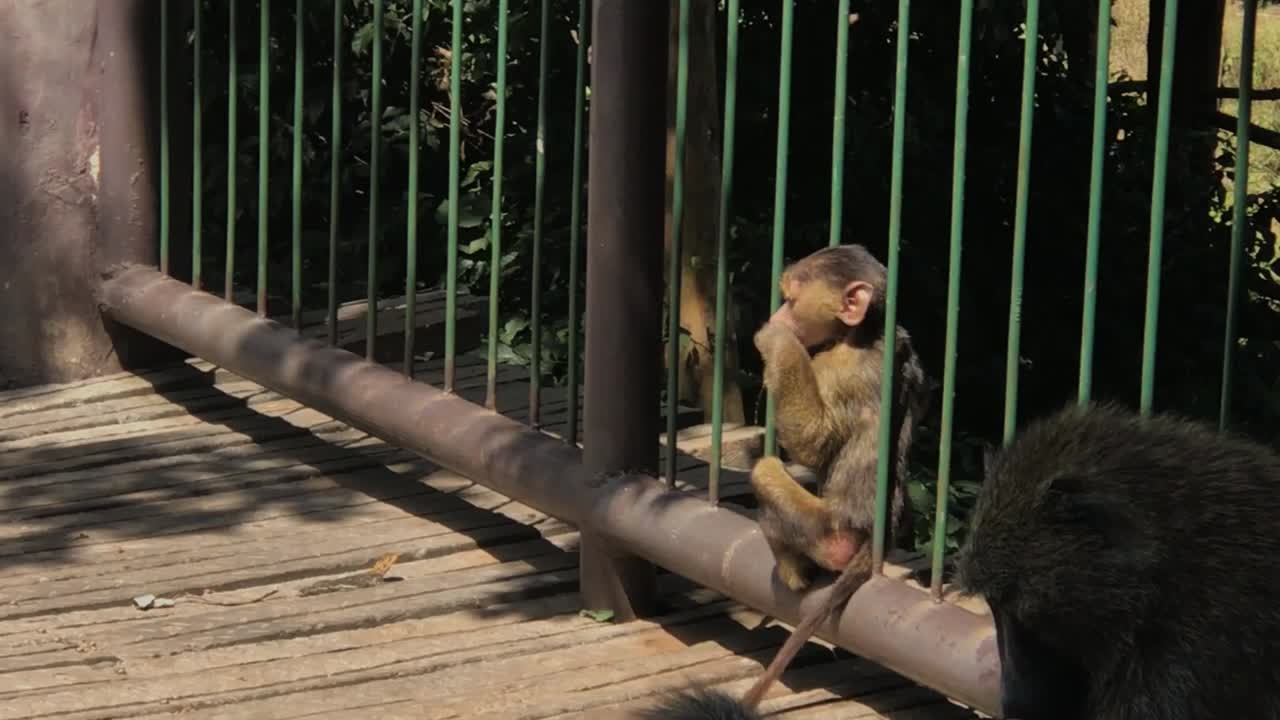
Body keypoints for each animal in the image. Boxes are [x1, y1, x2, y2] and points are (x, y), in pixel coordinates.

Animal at [634, 244, 930, 718]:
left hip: (828, 535)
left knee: (767, 472)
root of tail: (869, 538)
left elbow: (813, 442)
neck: (866, 334)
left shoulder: (835, 365)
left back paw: (792, 571)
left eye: (791, 300)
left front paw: (777, 341)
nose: (778, 313)